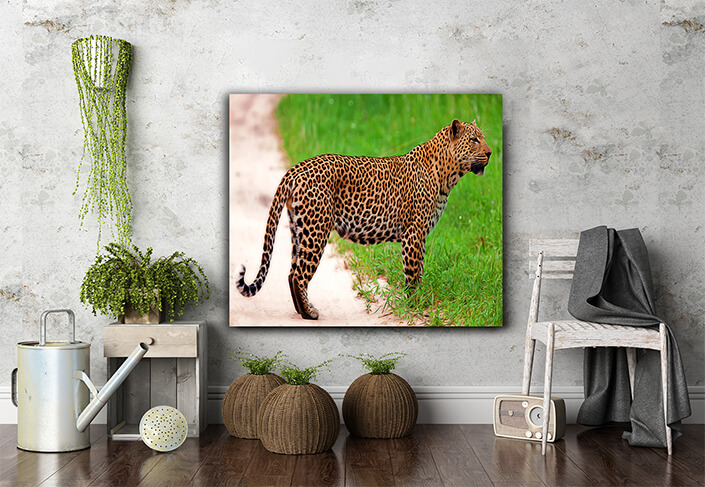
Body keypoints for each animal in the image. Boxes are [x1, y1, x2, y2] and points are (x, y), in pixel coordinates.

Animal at [236, 119, 492, 320]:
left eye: (482, 138)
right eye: (474, 140)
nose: (490, 153)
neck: (447, 176)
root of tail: (296, 168)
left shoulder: (421, 235)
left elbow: (419, 269)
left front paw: (419, 301)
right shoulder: (414, 233)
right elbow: (412, 273)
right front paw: (415, 305)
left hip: (299, 229)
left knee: (291, 272)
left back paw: (302, 310)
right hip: (316, 230)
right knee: (299, 274)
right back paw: (310, 313)